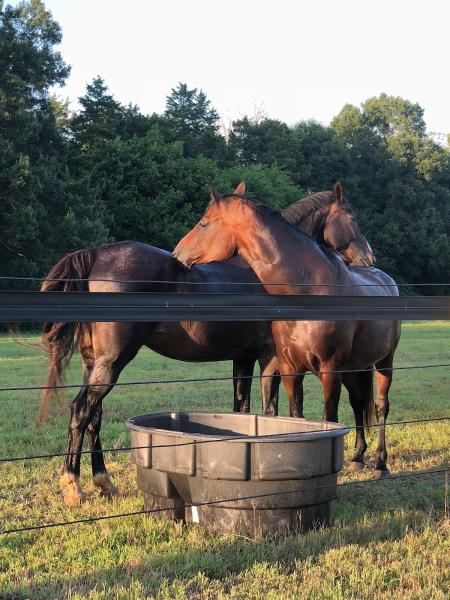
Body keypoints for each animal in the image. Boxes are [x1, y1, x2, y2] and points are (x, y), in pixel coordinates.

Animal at [42, 180, 374, 504]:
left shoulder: (243, 358)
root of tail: (96, 254)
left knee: (94, 415)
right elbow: (270, 408)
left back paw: (103, 481)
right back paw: (72, 484)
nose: (369, 258)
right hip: (113, 361)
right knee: (81, 409)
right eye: (353, 218)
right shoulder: (271, 358)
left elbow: (242, 407)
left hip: (94, 362)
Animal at [175, 188, 400, 478]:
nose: (177, 253)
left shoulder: (326, 369)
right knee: (359, 401)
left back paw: (381, 463)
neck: (308, 289)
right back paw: (358, 456)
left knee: (381, 406)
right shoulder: (289, 368)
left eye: (203, 224)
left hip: (383, 361)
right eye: (353, 217)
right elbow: (292, 416)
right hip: (355, 367)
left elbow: (325, 419)